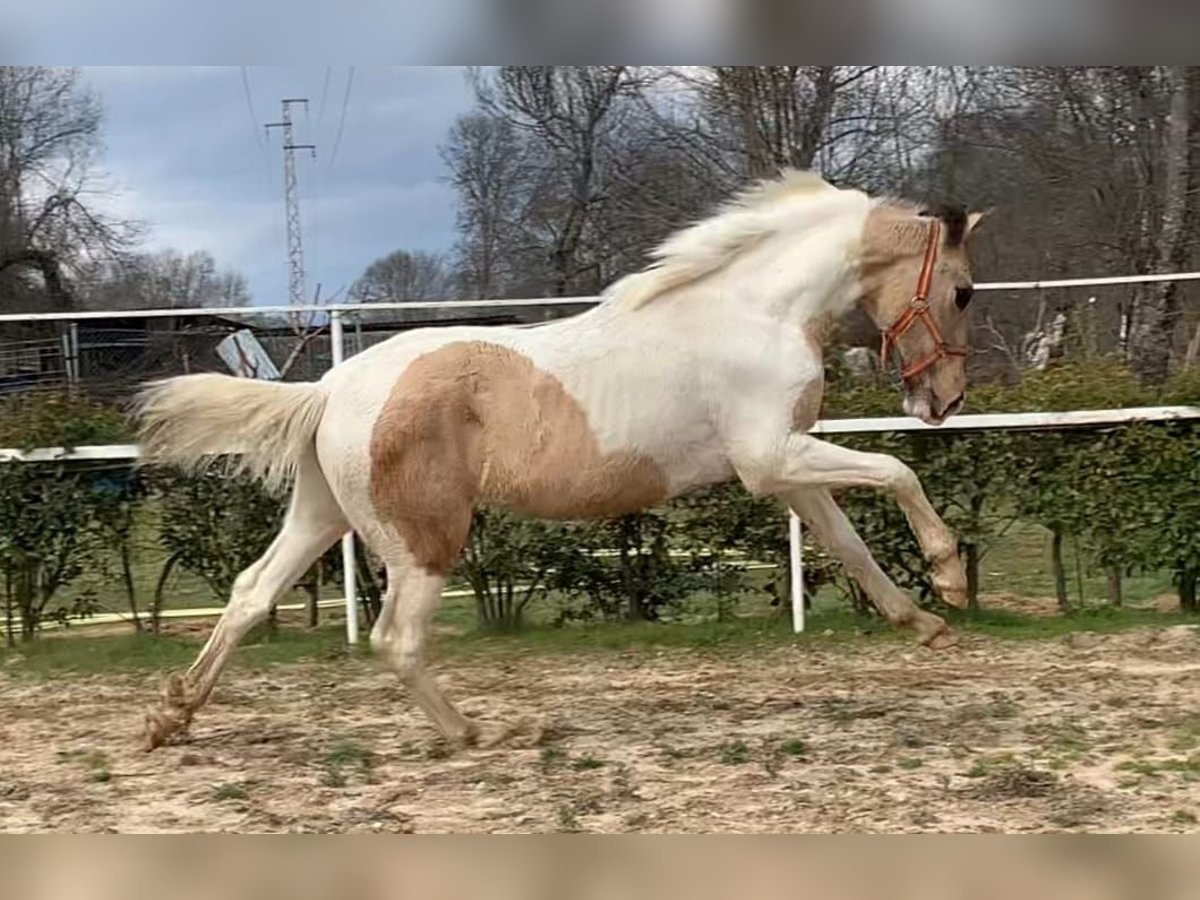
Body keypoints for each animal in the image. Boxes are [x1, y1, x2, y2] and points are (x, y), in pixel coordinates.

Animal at [138, 172, 984, 748]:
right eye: (964, 291)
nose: (944, 398)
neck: (752, 311)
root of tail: (329, 389)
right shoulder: (772, 457)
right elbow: (898, 472)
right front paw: (950, 578)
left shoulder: (787, 470)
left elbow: (850, 545)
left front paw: (926, 625)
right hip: (422, 541)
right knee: (395, 640)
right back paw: (475, 733)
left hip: (323, 515)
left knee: (250, 595)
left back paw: (172, 716)